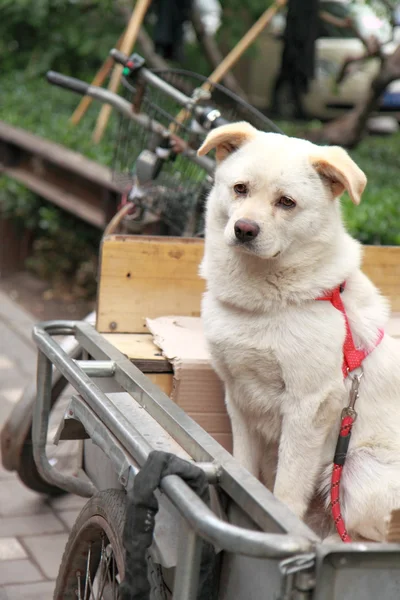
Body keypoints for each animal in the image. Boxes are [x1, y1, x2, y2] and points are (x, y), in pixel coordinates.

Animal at [197, 119, 400, 540]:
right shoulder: (239, 398)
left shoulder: (308, 406)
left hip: (359, 470)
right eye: (240, 188)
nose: (244, 229)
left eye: (286, 202)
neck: (264, 306)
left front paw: (280, 523)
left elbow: (285, 494)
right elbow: (244, 472)